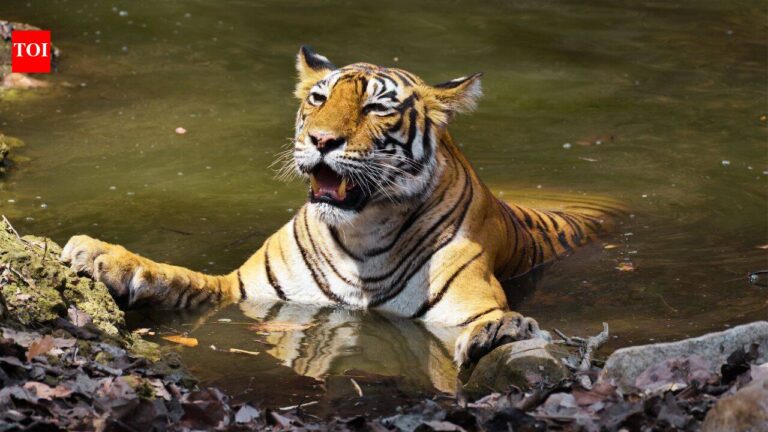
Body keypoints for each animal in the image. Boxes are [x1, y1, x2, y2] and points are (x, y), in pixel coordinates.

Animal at [60, 46, 623, 366]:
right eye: (318, 98)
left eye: (376, 107)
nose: (321, 139)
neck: (362, 234)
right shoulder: (239, 288)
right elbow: (175, 273)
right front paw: (100, 255)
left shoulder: (467, 302)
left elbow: (490, 318)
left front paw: (501, 331)